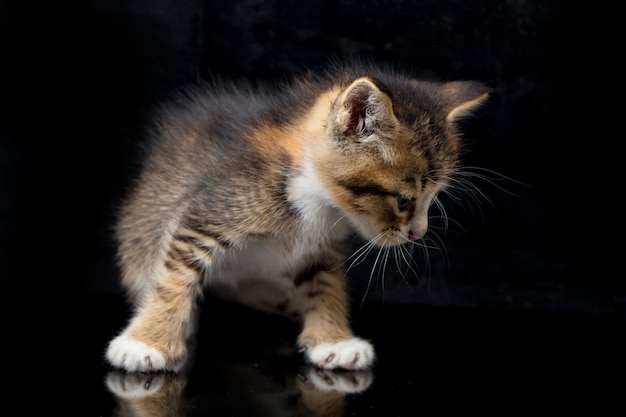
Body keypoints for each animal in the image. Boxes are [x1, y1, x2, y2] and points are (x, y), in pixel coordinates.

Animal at [106, 61, 488, 370]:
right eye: (405, 200)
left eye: (433, 198)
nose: (418, 233)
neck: (319, 200)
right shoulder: (206, 213)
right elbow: (174, 278)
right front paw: (148, 342)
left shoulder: (321, 244)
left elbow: (325, 282)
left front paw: (333, 342)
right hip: (139, 228)